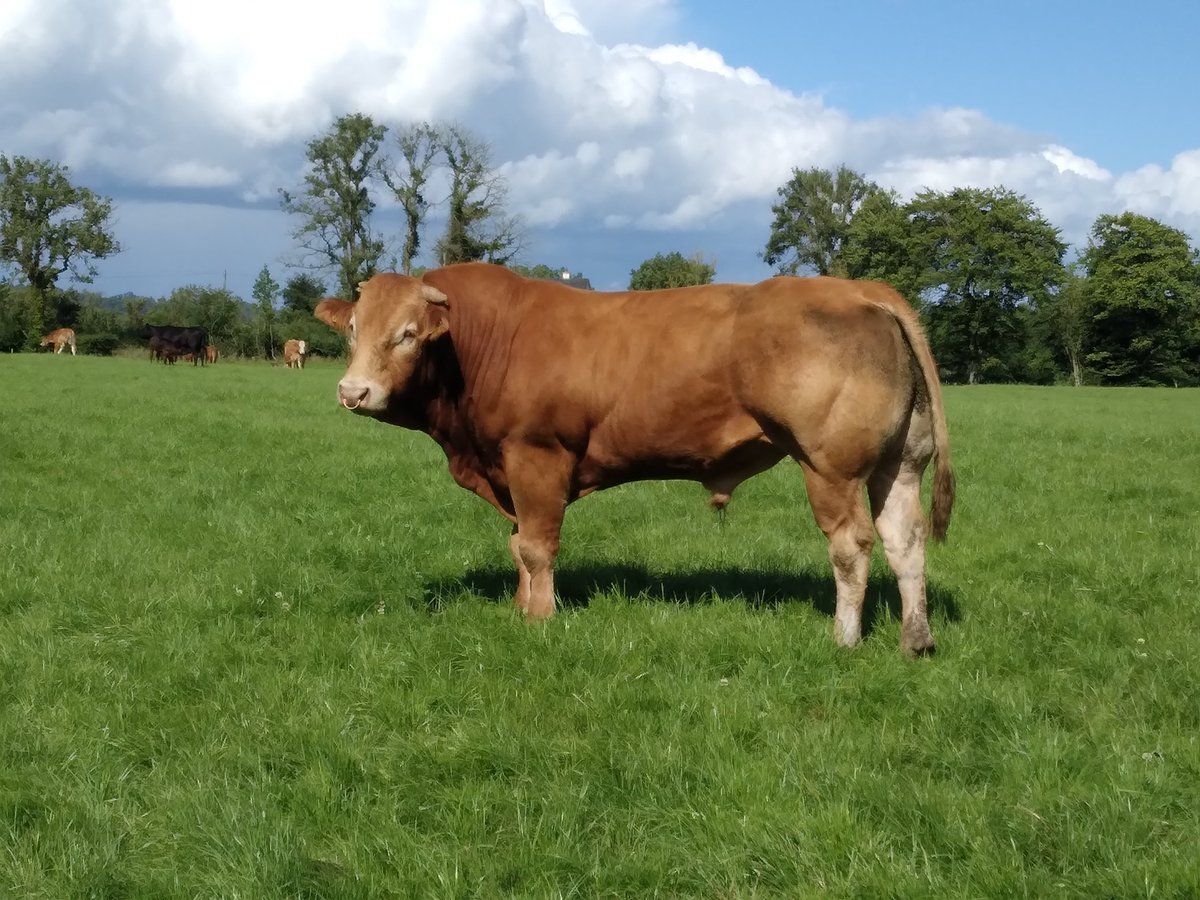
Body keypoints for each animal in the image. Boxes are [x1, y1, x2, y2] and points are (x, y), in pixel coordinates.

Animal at [315, 263, 954, 655]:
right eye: (352, 329)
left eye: (409, 333)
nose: (352, 391)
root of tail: (857, 288)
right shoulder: (507, 468)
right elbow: (518, 545)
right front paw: (522, 608)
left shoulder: (535, 456)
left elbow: (537, 546)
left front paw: (542, 617)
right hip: (899, 463)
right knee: (905, 540)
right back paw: (915, 638)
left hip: (830, 467)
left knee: (851, 546)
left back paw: (844, 637)